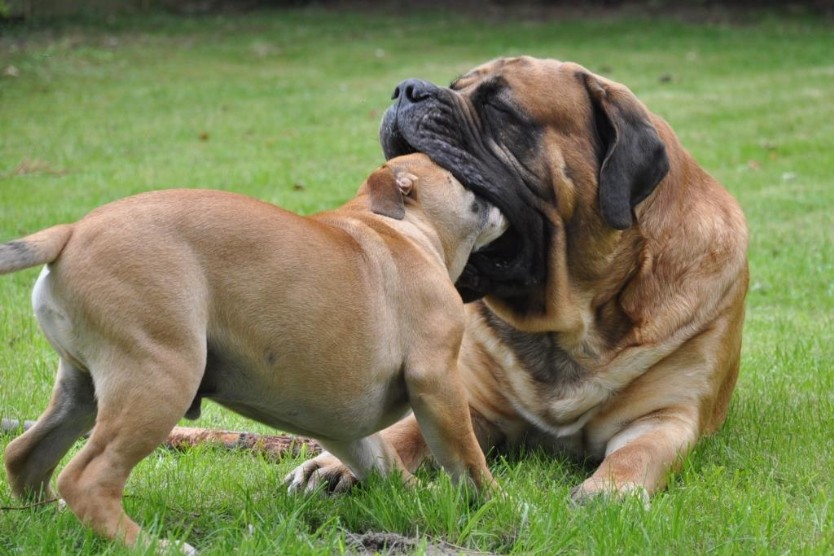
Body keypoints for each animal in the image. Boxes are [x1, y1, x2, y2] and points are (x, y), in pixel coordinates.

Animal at [0, 153, 500, 552]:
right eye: (458, 175)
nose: (491, 188)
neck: (401, 226)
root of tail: (71, 231)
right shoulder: (437, 380)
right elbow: (467, 458)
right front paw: (497, 504)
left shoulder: (344, 430)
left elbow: (384, 462)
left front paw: (423, 497)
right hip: (157, 381)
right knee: (88, 477)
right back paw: (154, 545)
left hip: (81, 390)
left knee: (26, 455)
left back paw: (56, 522)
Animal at [290, 57, 748, 504]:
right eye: (454, 87)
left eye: (499, 108)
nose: (407, 88)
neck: (568, 328)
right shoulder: (470, 402)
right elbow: (405, 432)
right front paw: (337, 465)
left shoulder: (669, 415)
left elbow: (640, 451)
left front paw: (608, 491)